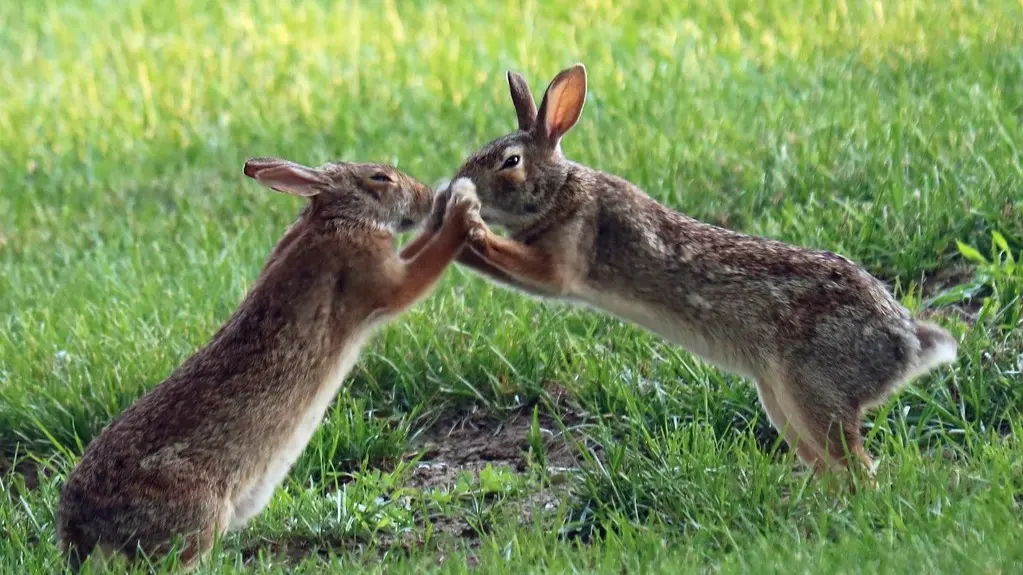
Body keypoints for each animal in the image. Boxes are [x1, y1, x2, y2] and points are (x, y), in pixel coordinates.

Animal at [56, 156, 484, 572]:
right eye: (380, 177)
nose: (426, 196)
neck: (338, 217)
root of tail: (80, 529)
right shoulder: (375, 275)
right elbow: (425, 265)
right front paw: (461, 211)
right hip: (200, 513)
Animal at [440, 63, 959, 475]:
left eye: (510, 161)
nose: (455, 184)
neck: (559, 190)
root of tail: (906, 344)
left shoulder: (560, 264)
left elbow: (510, 259)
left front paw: (464, 226)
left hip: (815, 392)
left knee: (860, 470)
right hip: (783, 402)